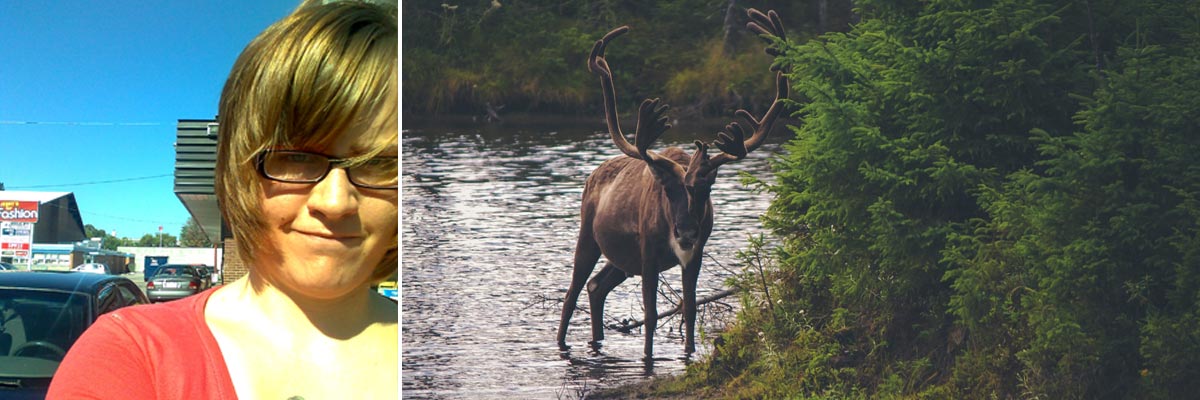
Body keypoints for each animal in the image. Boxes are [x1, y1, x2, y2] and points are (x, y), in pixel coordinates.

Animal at [559, 9, 792, 355]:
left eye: (705, 189)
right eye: (667, 189)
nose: (686, 231)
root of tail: (593, 174)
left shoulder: (695, 254)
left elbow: (690, 308)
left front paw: (689, 353)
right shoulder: (649, 252)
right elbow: (651, 314)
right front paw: (648, 356)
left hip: (622, 259)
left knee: (596, 285)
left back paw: (597, 338)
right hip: (589, 234)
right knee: (571, 292)